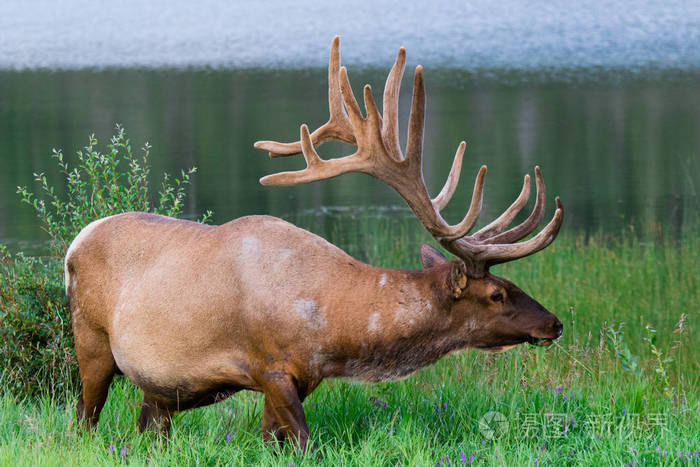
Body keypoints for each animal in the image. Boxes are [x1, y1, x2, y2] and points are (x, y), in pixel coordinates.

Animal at [67, 36, 564, 450]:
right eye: (497, 293)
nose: (555, 323)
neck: (333, 328)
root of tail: (77, 239)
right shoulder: (270, 367)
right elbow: (306, 443)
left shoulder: (304, 376)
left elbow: (274, 443)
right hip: (91, 342)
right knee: (83, 420)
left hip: (159, 388)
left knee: (147, 426)